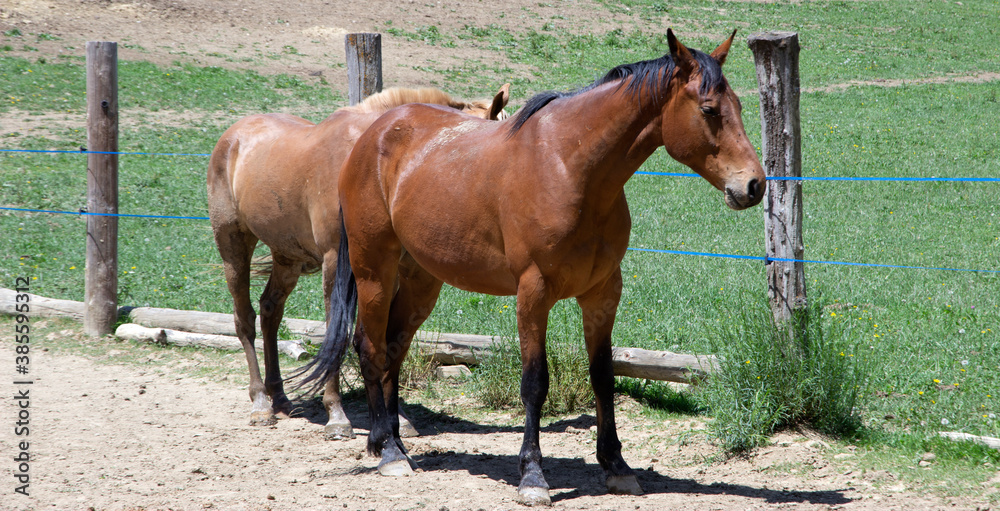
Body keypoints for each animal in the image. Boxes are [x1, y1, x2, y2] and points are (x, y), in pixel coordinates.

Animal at [208, 85, 512, 436]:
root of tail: (233, 136)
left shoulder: (389, 271)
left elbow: (386, 338)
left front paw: (398, 417)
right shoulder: (334, 265)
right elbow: (336, 333)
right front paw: (337, 415)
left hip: (287, 256)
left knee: (271, 311)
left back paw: (280, 397)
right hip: (233, 246)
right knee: (245, 318)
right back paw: (260, 402)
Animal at [300, 30, 760, 506]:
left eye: (739, 107)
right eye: (709, 110)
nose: (753, 185)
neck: (571, 167)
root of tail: (370, 136)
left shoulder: (602, 293)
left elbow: (603, 377)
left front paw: (616, 465)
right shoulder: (533, 294)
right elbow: (535, 383)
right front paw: (533, 475)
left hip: (420, 281)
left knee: (393, 350)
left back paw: (389, 440)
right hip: (375, 271)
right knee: (370, 348)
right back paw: (389, 452)